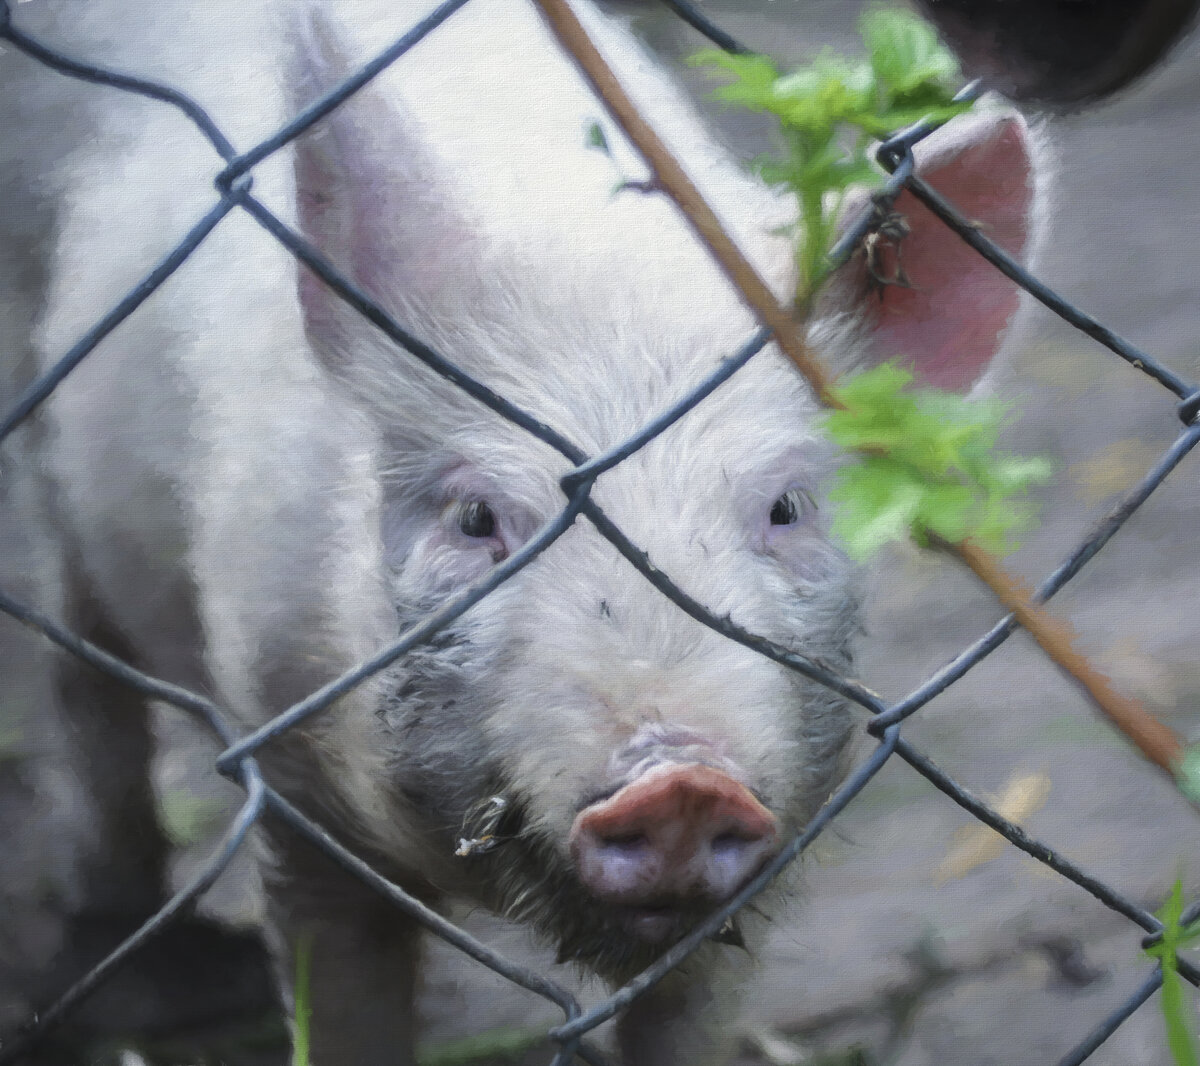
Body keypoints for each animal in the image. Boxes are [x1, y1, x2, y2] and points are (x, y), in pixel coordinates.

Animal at [0, 0, 1041, 1061]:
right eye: (476, 517)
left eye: (787, 508)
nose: (678, 783)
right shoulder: (288, 772)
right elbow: (342, 999)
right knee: (86, 674)